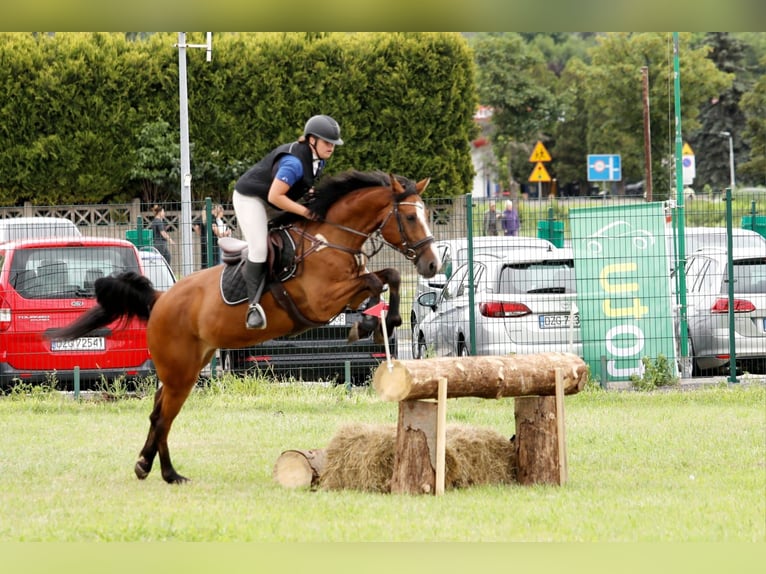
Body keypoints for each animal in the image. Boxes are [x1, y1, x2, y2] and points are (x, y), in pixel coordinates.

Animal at [49, 169, 444, 484]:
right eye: (410, 218)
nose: (431, 265)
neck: (329, 242)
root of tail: (160, 299)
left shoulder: (345, 292)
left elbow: (385, 278)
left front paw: (375, 322)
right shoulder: (321, 302)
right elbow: (379, 279)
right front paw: (378, 322)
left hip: (185, 369)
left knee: (158, 413)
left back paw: (146, 465)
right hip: (180, 373)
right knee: (163, 418)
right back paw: (169, 474)